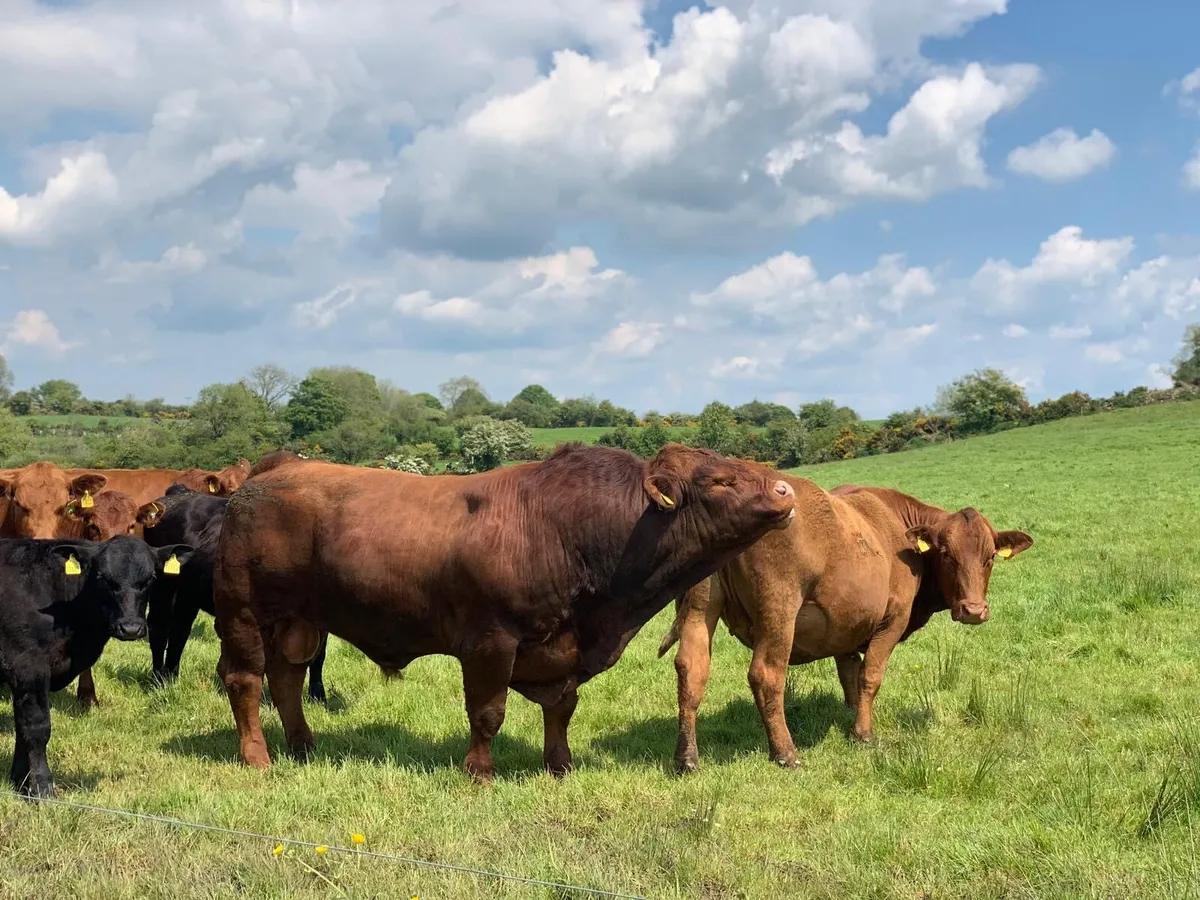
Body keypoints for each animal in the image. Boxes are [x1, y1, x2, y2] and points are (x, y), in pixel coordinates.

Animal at [0, 536, 193, 798]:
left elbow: (22, 729)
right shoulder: (28, 667)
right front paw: (42, 788)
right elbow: (36, 727)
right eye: (102, 576)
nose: (130, 628)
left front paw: (20, 782)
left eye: (151, 577)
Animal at [142, 484, 328, 698]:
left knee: (179, 630)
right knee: (159, 627)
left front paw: (318, 695)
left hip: (187, 594)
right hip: (163, 587)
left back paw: (171, 677)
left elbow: (318, 656)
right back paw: (158, 680)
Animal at [212, 442, 797, 782]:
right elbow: (488, 713)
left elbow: (562, 708)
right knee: (245, 680)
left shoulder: (563, 649)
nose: (785, 489)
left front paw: (560, 764)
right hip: (243, 615)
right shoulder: (490, 642)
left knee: (286, 679)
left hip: (298, 622)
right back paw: (257, 756)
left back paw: (302, 745)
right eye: (720, 481)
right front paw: (479, 772)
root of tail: (269, 473)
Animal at [658, 478, 1033, 773]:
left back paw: (686, 759)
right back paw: (786, 753)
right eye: (945, 554)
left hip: (699, 609)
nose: (973, 610)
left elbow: (850, 675)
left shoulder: (846, 627)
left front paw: (852, 716)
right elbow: (870, 677)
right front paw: (864, 733)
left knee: (692, 669)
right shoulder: (891, 621)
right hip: (779, 612)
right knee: (766, 675)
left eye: (989, 557)